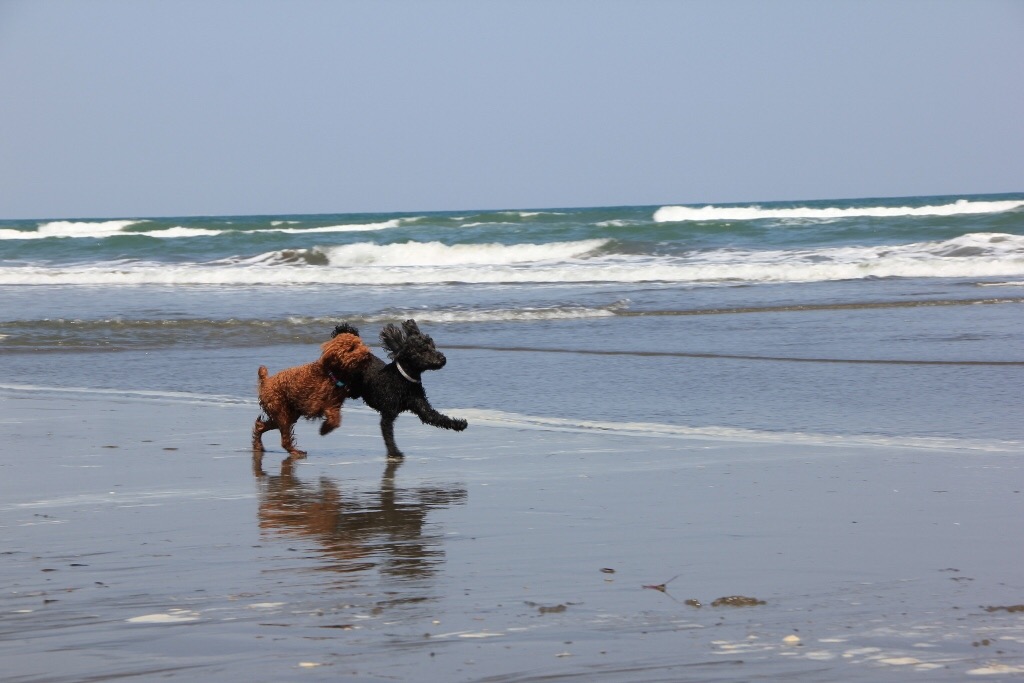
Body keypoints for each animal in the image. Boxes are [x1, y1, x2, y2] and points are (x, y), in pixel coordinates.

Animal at [331, 319, 468, 458]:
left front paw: (459, 424)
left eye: (433, 346)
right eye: (423, 350)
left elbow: (436, 417)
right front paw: (394, 453)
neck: (404, 380)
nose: (443, 358)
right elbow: (388, 435)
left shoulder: (421, 407)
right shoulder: (388, 414)